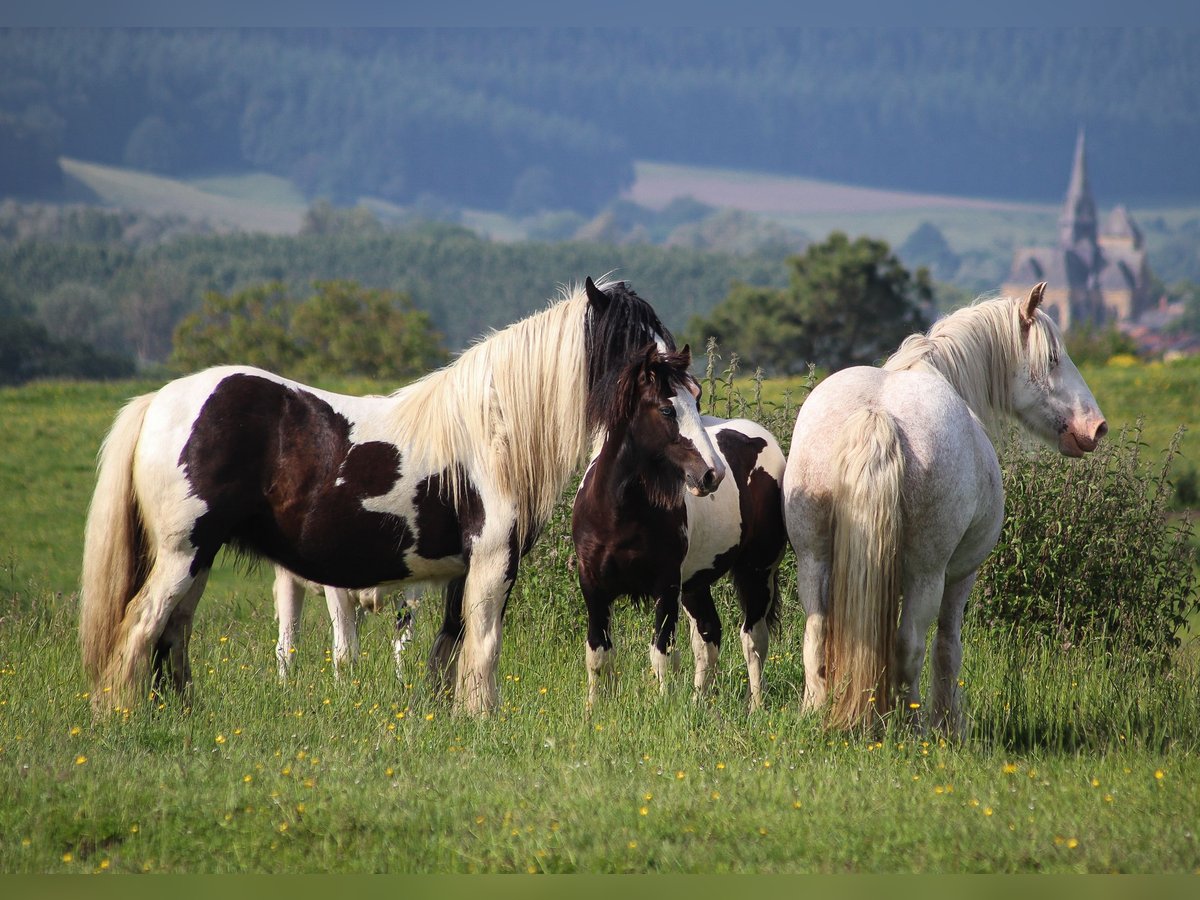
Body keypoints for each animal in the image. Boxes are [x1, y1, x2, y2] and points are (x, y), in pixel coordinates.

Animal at [78, 278, 672, 715]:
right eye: (634, 341)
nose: (677, 378)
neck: (493, 431)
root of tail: (159, 401)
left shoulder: (459, 574)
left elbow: (447, 650)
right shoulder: (491, 563)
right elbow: (483, 648)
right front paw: (484, 719)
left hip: (197, 558)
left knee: (173, 633)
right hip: (184, 554)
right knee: (141, 626)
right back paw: (123, 717)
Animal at [571, 345, 787, 710]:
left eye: (697, 402)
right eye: (666, 408)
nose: (712, 474)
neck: (617, 512)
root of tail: (765, 439)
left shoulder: (666, 586)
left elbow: (662, 654)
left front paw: (662, 708)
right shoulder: (594, 587)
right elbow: (598, 654)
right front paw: (594, 710)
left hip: (756, 570)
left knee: (753, 639)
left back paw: (756, 707)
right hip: (697, 583)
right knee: (709, 635)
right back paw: (700, 703)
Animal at [787, 285, 1104, 734]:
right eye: (1053, 359)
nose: (1096, 426)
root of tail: (876, 414)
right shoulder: (961, 576)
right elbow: (947, 649)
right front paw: (950, 724)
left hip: (813, 559)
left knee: (816, 636)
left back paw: (816, 713)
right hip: (927, 573)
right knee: (910, 648)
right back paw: (914, 727)